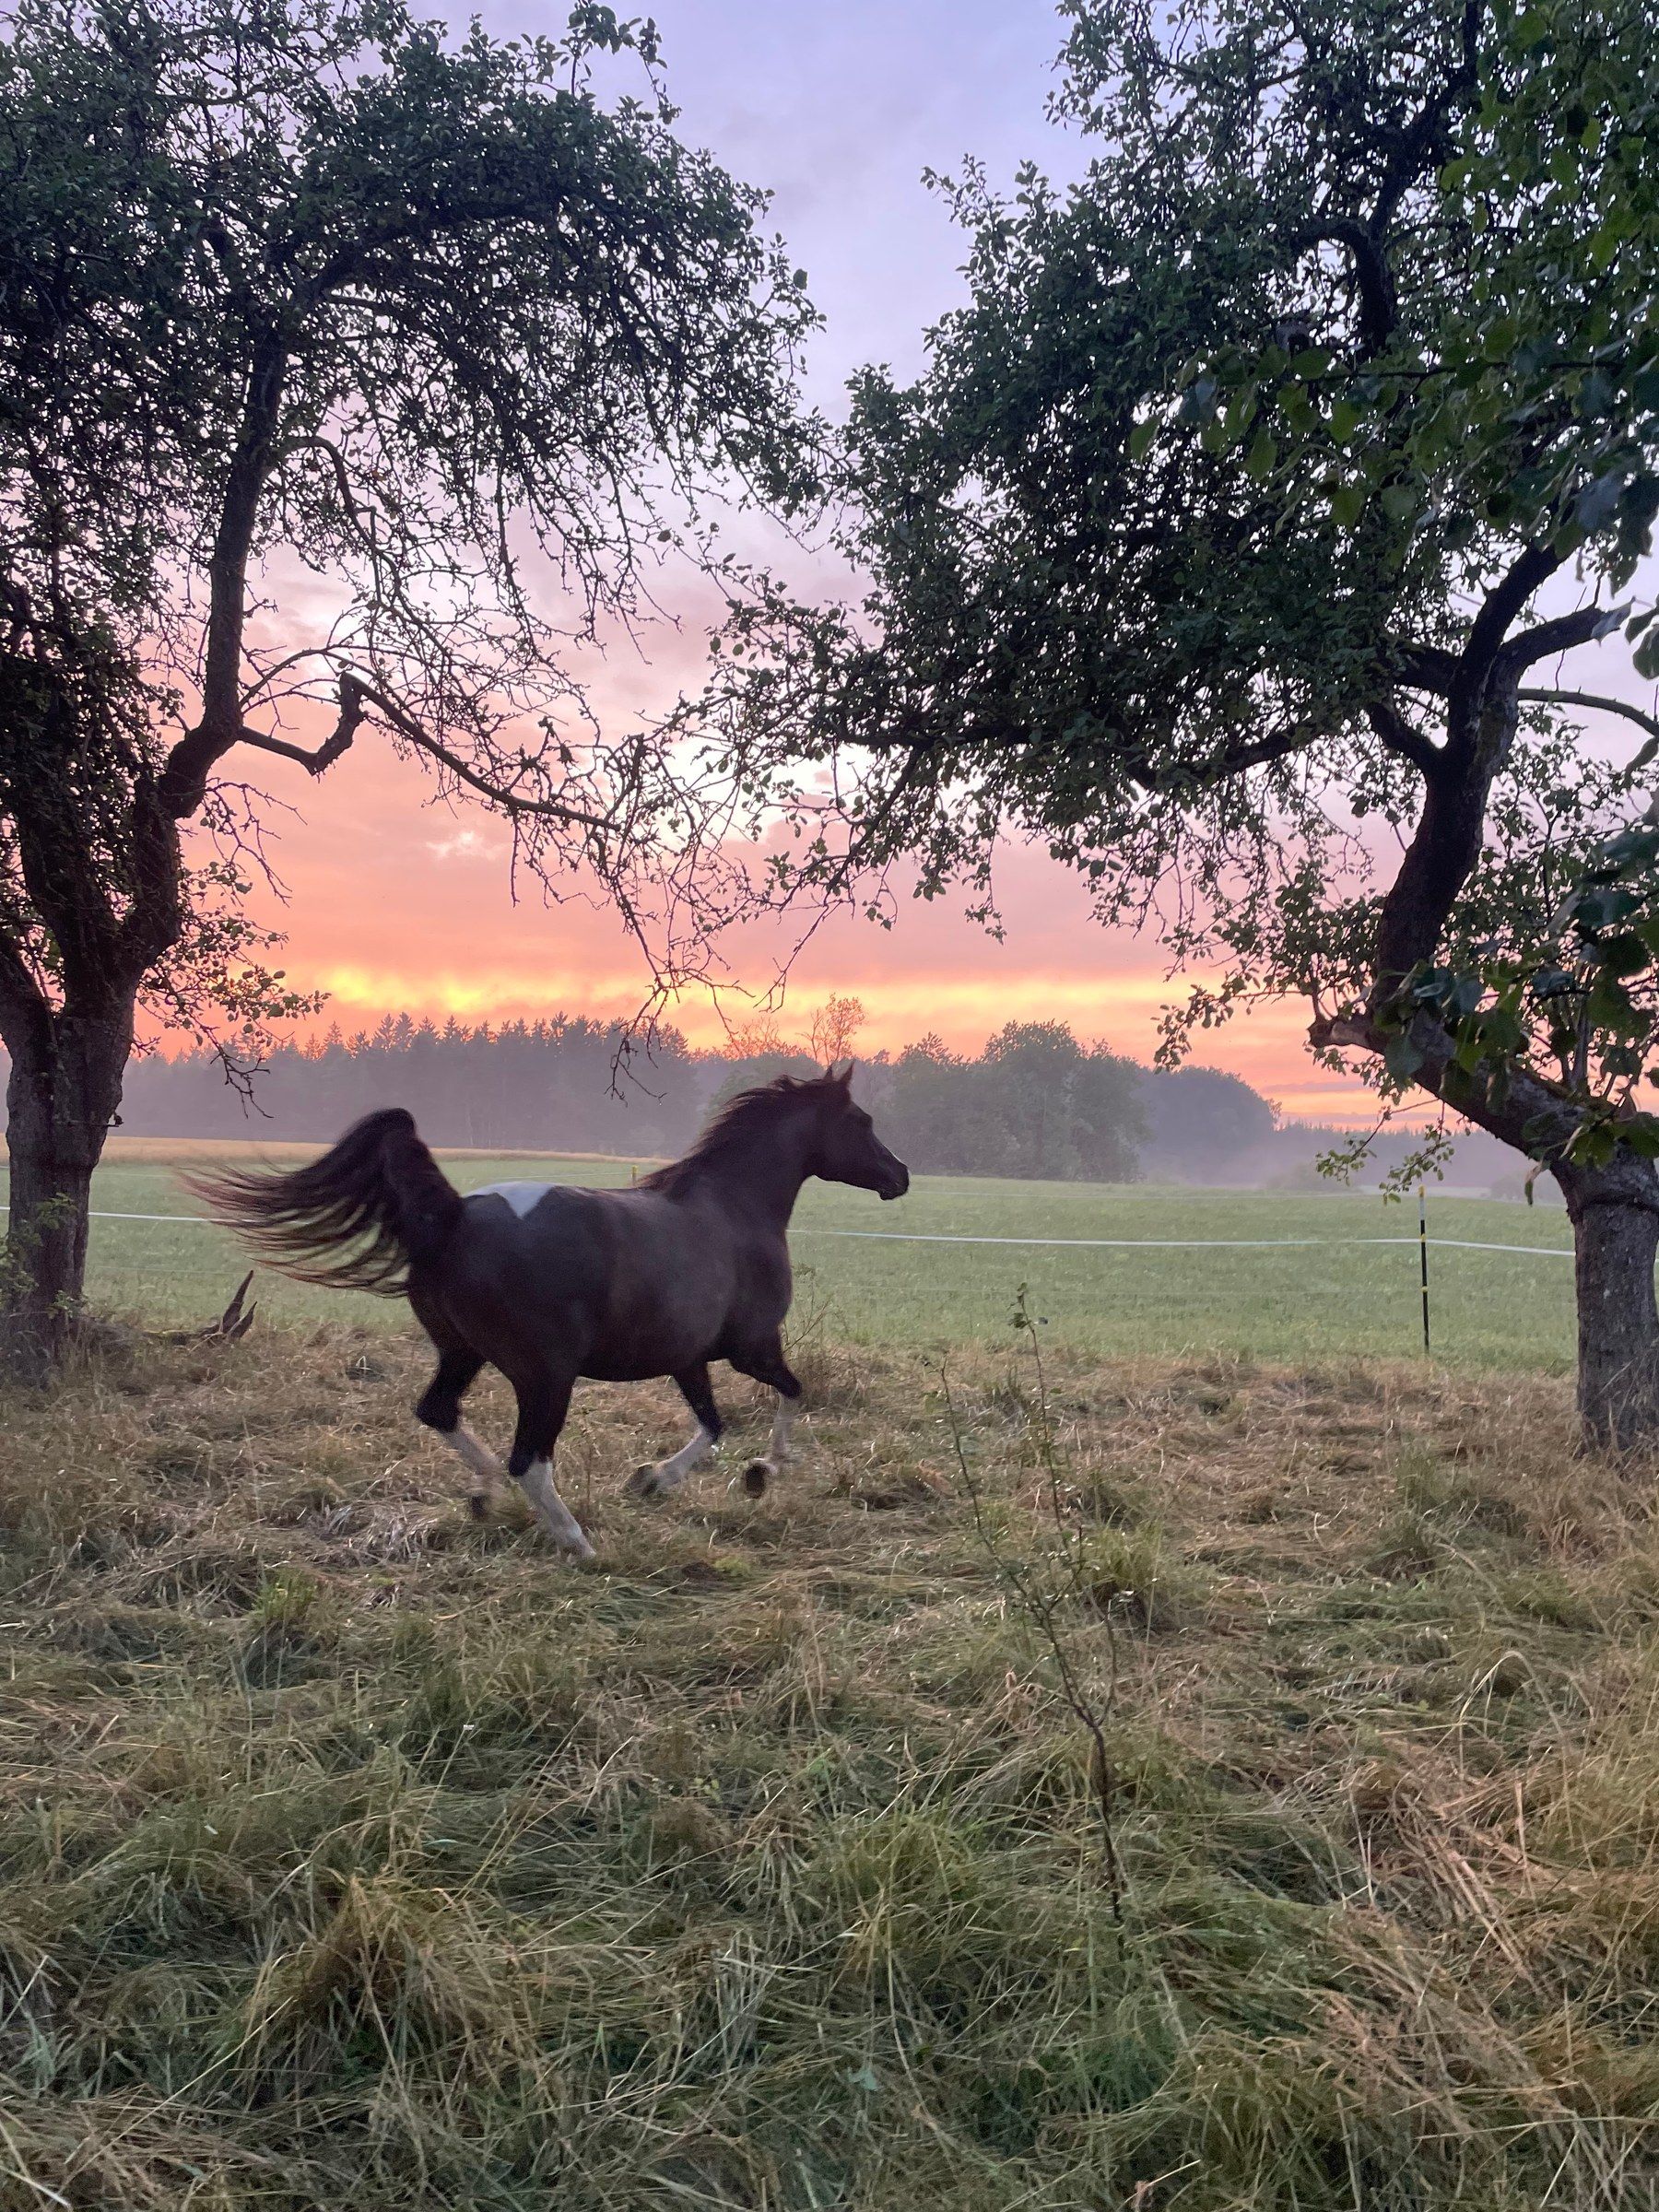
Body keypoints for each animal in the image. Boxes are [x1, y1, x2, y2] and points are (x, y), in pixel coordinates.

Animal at [188, 1065, 910, 1559]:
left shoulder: (688, 1358)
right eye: (862, 1123)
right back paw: (576, 1541)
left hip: (462, 1353)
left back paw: (484, 1496)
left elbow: (711, 1427)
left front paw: (654, 1480)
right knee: (529, 1460)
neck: (733, 1211)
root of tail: (454, 1218)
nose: (900, 1176)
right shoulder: (753, 1346)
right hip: (546, 1376)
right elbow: (790, 1393)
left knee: (440, 1413)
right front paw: (765, 1473)